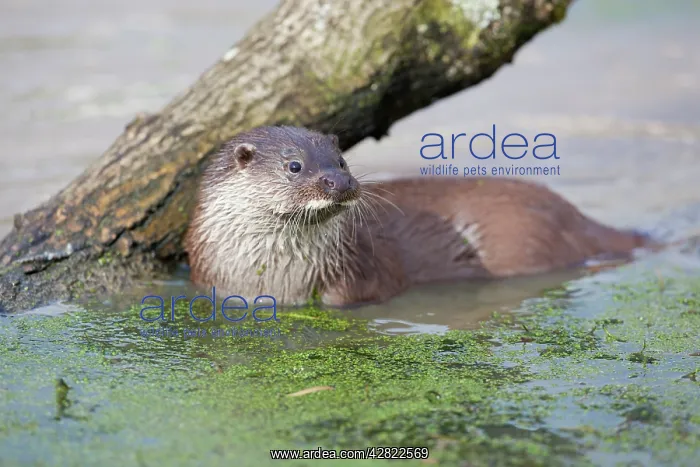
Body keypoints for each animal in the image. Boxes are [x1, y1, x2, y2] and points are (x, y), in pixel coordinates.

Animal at [185, 126, 652, 307]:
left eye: (342, 160)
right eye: (294, 165)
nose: (341, 182)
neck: (274, 278)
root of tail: (577, 216)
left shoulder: (361, 275)